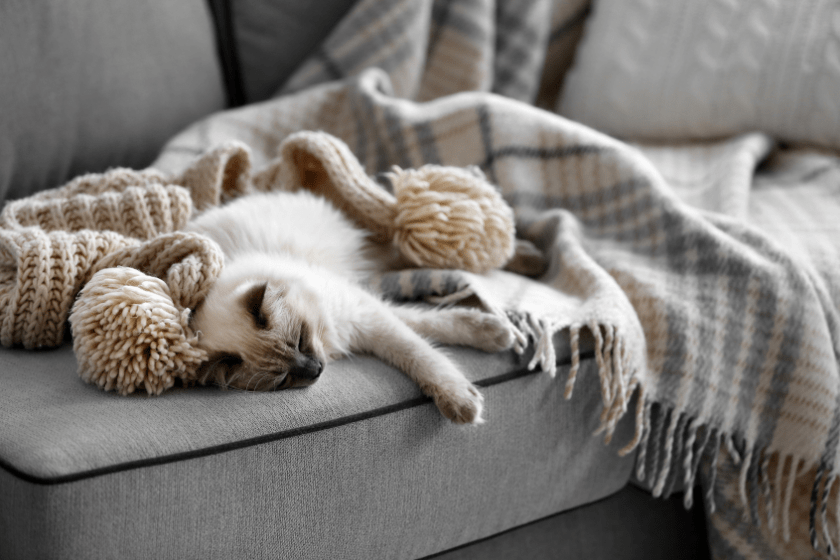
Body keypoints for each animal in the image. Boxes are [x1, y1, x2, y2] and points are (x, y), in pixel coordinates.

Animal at [183, 189, 512, 424]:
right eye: (283, 380)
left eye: (300, 340)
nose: (316, 370)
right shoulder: (359, 322)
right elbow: (424, 339)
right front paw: (496, 337)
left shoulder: (362, 313)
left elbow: (424, 343)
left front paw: (496, 336)